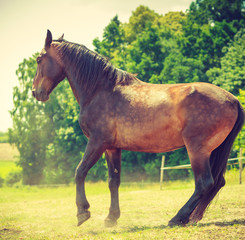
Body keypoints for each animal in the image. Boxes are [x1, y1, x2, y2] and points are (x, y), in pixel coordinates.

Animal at [32, 30, 243, 227]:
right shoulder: (112, 147)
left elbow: (79, 172)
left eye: (39, 59)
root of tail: (233, 99)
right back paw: (192, 218)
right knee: (216, 182)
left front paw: (82, 212)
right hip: (213, 150)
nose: (35, 92)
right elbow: (113, 181)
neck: (100, 90)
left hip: (197, 150)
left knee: (204, 183)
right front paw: (111, 218)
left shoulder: (97, 142)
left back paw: (177, 218)